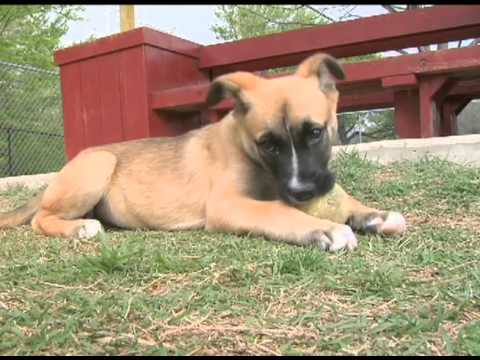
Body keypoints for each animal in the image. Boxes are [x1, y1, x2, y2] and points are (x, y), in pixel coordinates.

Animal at [0, 52, 404, 250]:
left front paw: (375, 214)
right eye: (268, 144)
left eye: (316, 132)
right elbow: (276, 211)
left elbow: (346, 201)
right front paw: (324, 228)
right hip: (100, 162)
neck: (246, 147)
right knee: (41, 218)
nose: (302, 191)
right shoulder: (227, 205)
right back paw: (79, 227)